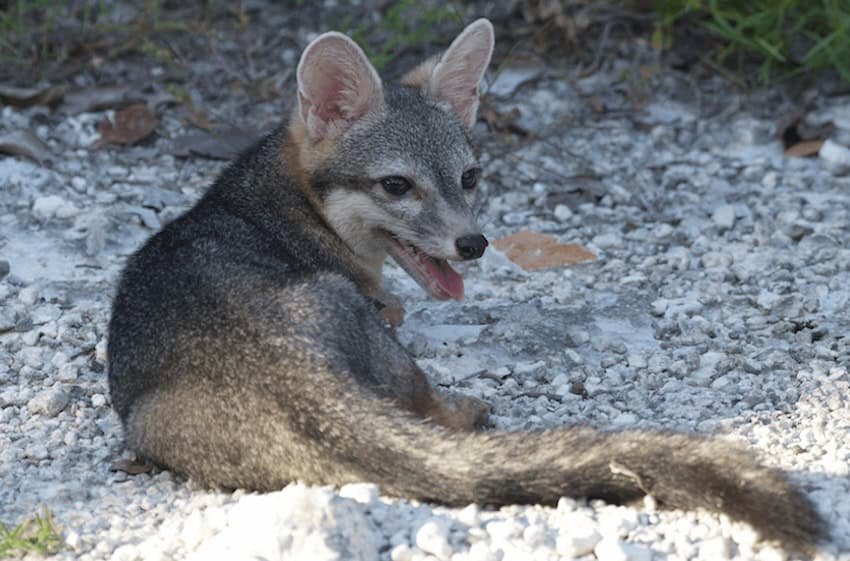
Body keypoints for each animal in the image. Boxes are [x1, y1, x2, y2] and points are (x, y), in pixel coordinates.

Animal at [107, 19, 825, 554]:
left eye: (470, 178)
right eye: (396, 185)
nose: (473, 243)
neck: (279, 202)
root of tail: (292, 374)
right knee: (428, 404)